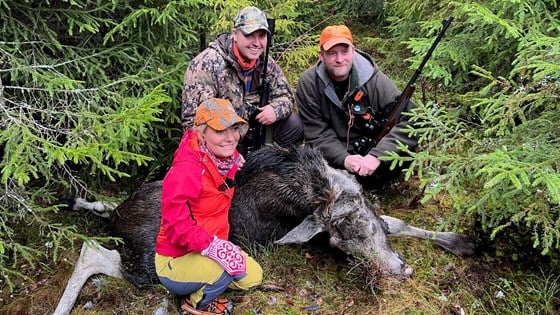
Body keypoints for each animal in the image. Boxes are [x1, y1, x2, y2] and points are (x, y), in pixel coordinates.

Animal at [52, 146, 474, 315]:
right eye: (338, 237)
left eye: (360, 215)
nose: (401, 270)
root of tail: (119, 218)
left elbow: (397, 223)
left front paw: (462, 241)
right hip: (145, 268)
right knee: (91, 250)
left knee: (98, 213)